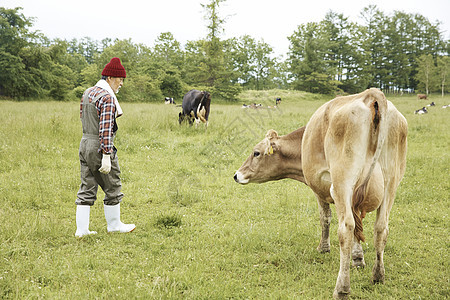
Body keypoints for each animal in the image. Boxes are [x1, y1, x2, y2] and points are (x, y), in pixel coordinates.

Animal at [236, 88, 408, 298]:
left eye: (256, 153)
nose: (236, 175)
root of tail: (371, 95)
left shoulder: (321, 190)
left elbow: (325, 218)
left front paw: (324, 248)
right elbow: (359, 226)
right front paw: (358, 258)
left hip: (342, 183)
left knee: (346, 228)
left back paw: (342, 288)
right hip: (391, 183)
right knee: (381, 227)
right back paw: (377, 276)